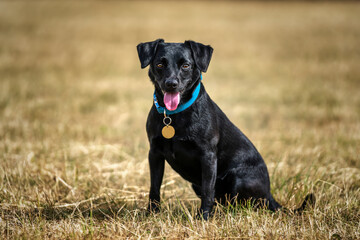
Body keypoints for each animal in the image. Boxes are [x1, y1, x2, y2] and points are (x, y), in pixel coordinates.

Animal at [136, 39, 314, 219]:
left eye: (186, 65)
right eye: (159, 64)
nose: (171, 84)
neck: (174, 115)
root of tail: (269, 195)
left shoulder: (208, 156)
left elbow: (208, 191)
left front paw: (203, 218)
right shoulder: (155, 154)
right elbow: (154, 188)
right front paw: (151, 214)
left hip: (237, 178)